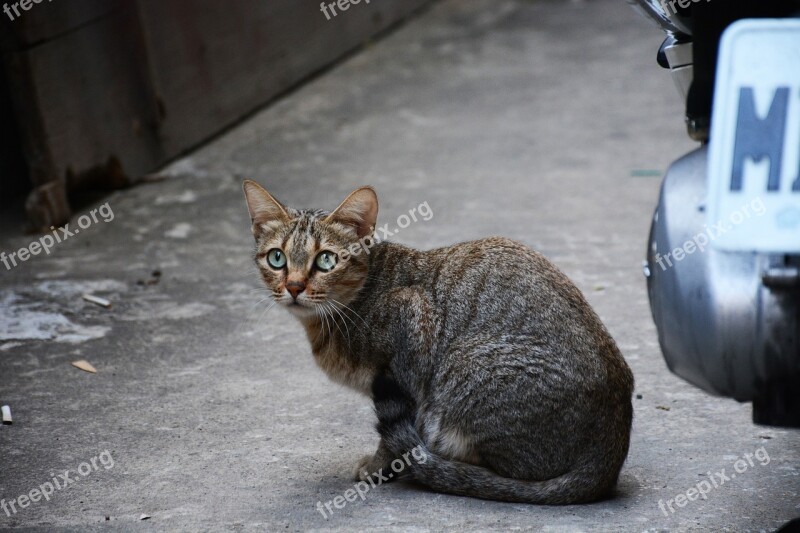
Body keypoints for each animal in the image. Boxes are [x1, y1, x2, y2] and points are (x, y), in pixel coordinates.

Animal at [241, 180, 636, 502]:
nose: (294, 286)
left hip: (463, 369)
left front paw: (380, 465)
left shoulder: (411, 333)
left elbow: (393, 435)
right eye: (277, 258)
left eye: (325, 260)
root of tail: (609, 453)